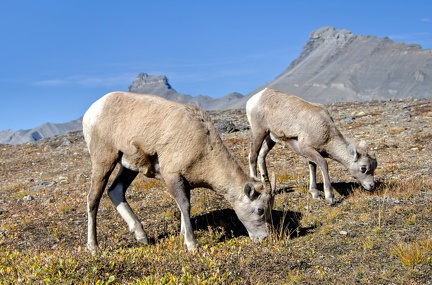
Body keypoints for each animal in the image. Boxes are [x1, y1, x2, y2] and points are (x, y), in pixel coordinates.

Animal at [82, 91, 276, 253]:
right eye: (260, 210)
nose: (264, 238)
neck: (203, 144)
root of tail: (93, 111)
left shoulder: (185, 182)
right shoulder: (173, 176)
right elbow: (184, 205)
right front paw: (191, 244)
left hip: (128, 167)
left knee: (115, 191)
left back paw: (142, 237)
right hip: (104, 161)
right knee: (93, 199)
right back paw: (94, 247)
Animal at [246, 87, 378, 203]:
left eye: (374, 167)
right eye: (363, 168)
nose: (371, 186)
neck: (327, 132)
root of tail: (254, 99)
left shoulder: (310, 152)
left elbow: (312, 167)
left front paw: (315, 194)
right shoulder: (308, 149)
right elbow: (323, 164)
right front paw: (329, 198)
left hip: (270, 139)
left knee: (261, 156)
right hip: (259, 132)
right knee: (253, 155)